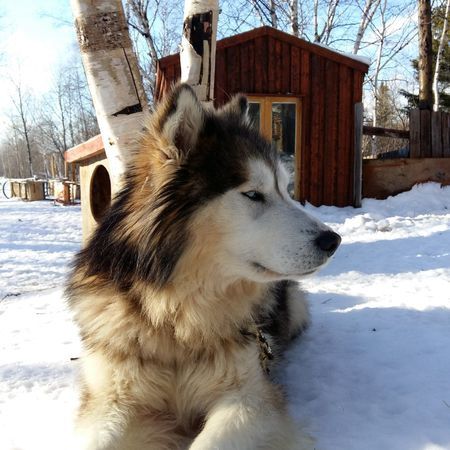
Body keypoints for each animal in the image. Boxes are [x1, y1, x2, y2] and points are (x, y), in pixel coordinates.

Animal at [67, 84, 340, 450]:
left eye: (286, 190)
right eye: (253, 194)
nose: (333, 240)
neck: (175, 315)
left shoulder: (251, 396)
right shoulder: (110, 398)